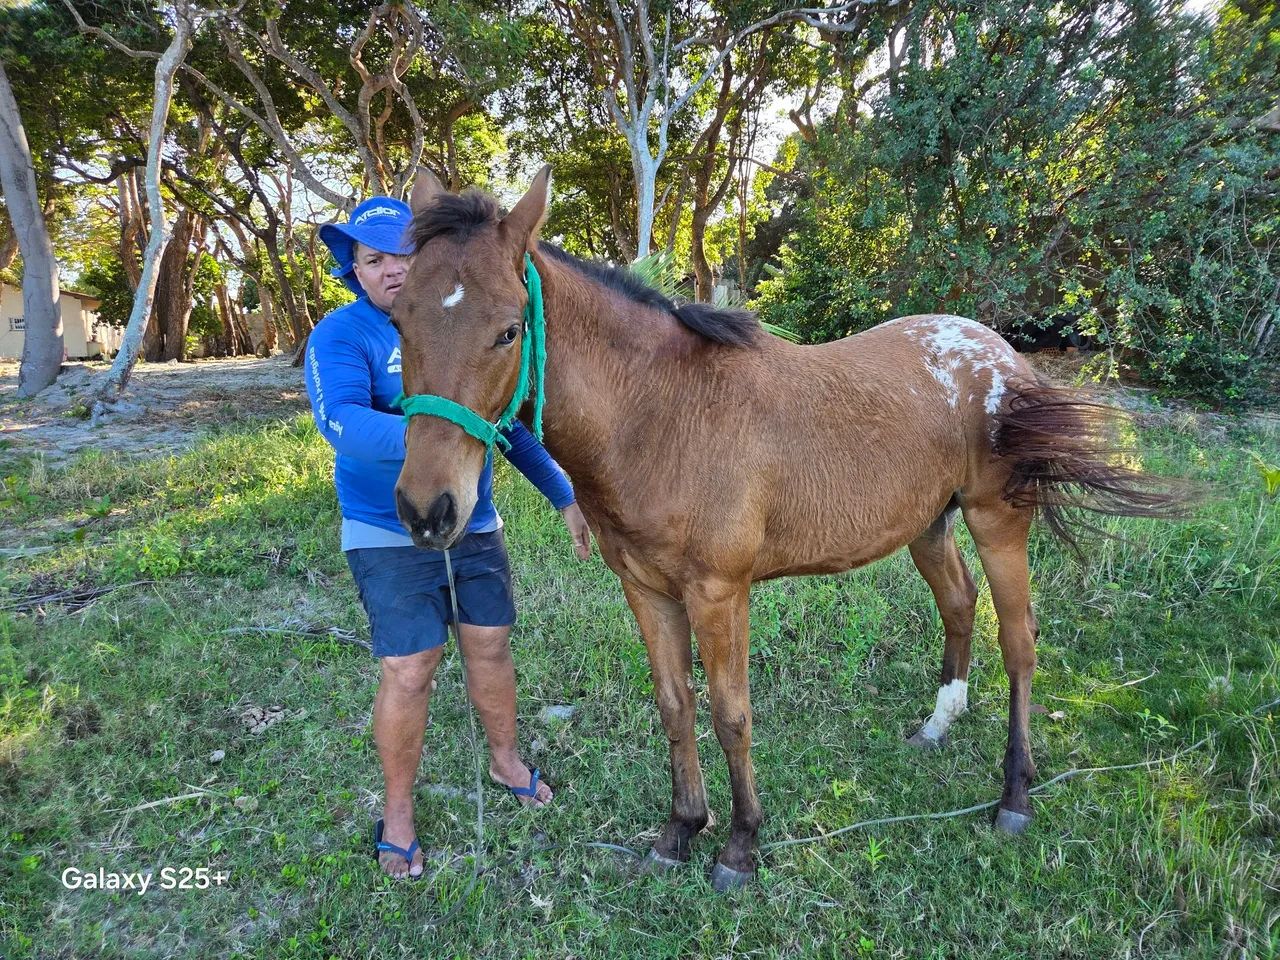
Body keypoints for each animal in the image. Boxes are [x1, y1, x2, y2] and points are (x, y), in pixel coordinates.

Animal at [387, 166, 1186, 891]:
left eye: (507, 330)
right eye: (399, 322)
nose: (429, 512)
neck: (660, 412)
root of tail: (999, 352)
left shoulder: (719, 594)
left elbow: (730, 714)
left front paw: (740, 845)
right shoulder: (646, 590)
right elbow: (675, 706)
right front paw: (680, 831)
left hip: (997, 523)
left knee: (1018, 643)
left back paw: (1014, 795)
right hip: (929, 526)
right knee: (959, 606)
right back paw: (938, 724)